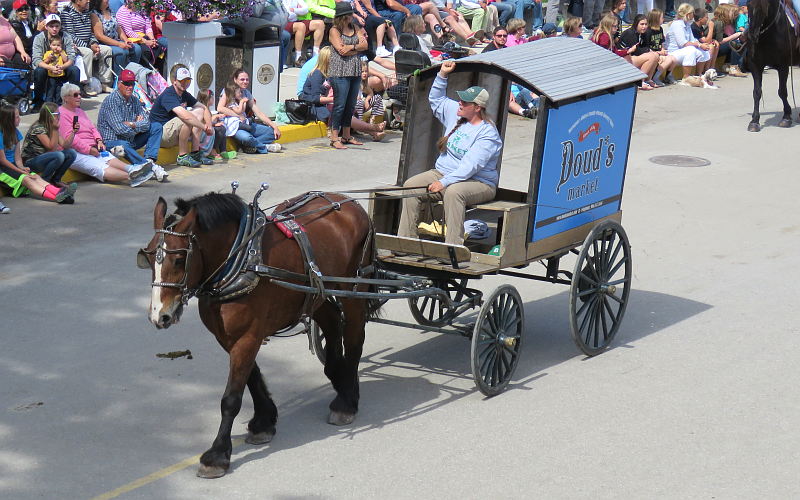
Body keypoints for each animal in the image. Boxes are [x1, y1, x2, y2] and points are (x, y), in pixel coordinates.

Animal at [138, 190, 376, 476]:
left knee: (354, 337)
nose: (159, 315)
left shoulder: (248, 337)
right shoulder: (228, 337)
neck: (239, 261)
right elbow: (252, 377)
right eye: (149, 257)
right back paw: (339, 380)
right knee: (331, 324)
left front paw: (217, 454)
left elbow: (231, 398)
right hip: (317, 292)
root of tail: (349, 202)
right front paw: (264, 420)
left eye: (179, 259)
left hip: (353, 288)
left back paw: (347, 400)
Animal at [744, 0, 800, 132]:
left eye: (763, 7)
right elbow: (757, 92)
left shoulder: (783, 66)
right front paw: (754, 121)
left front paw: (786, 117)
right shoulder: (755, 65)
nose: (752, 35)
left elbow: (782, 91)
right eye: (748, 4)